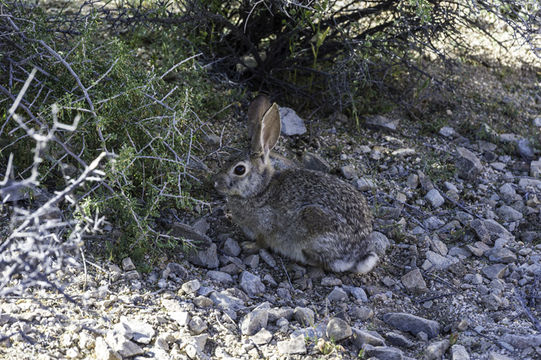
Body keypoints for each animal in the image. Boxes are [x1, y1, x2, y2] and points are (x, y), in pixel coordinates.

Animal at [213, 98, 378, 272]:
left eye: (239, 169)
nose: (216, 183)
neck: (260, 190)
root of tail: (358, 255)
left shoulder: (266, 226)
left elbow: (262, 242)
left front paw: (248, 246)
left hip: (313, 225)